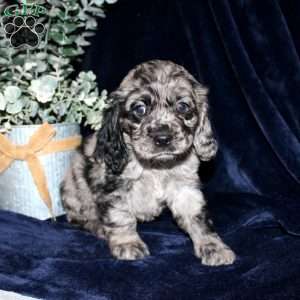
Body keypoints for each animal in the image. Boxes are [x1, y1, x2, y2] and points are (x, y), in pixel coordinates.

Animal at [61, 60, 237, 264]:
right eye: (140, 109)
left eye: (182, 106)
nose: (163, 138)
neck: (155, 167)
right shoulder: (115, 188)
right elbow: (121, 216)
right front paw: (128, 243)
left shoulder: (184, 187)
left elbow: (197, 217)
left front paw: (213, 246)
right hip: (74, 188)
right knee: (79, 217)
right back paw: (98, 227)